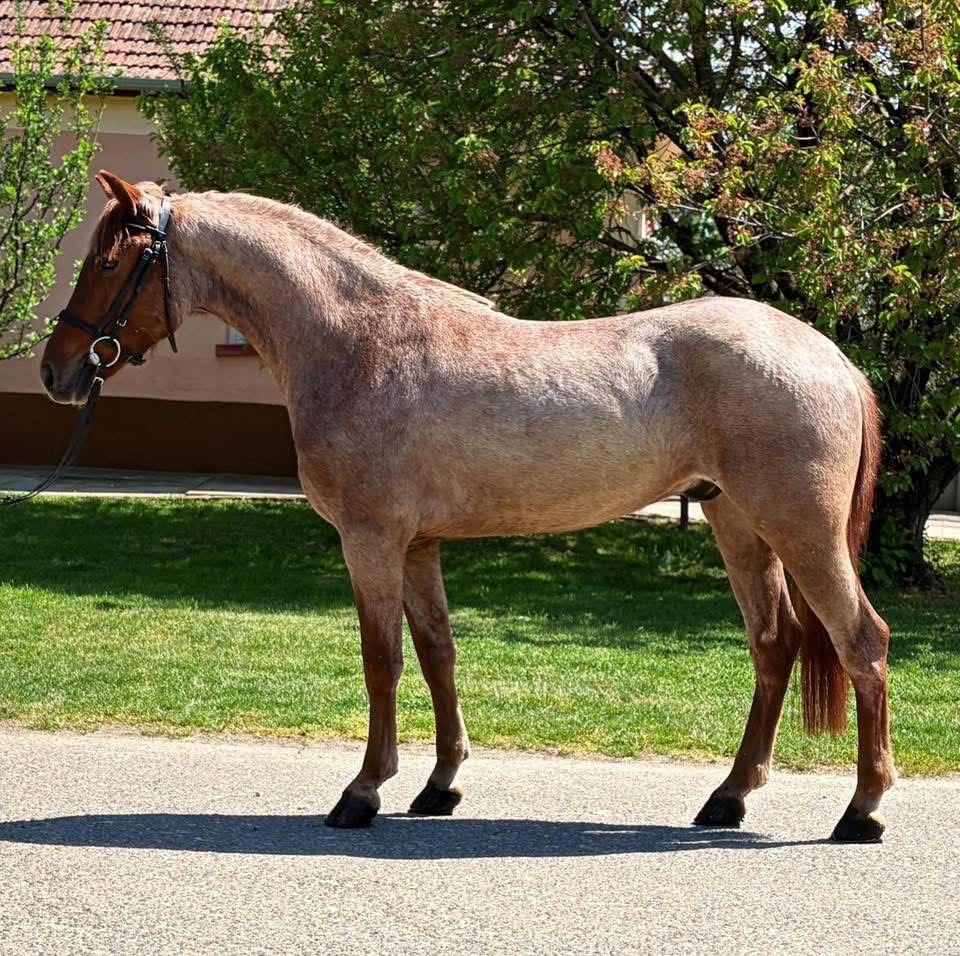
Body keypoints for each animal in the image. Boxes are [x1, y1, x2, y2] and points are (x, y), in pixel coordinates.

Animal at [40, 171, 895, 841]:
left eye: (110, 260)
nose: (57, 370)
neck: (357, 341)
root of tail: (828, 354)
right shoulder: (419, 546)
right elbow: (436, 654)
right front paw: (439, 784)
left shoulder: (371, 541)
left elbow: (381, 660)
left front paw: (363, 791)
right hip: (737, 524)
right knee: (774, 646)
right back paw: (729, 797)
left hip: (800, 531)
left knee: (861, 641)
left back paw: (863, 811)